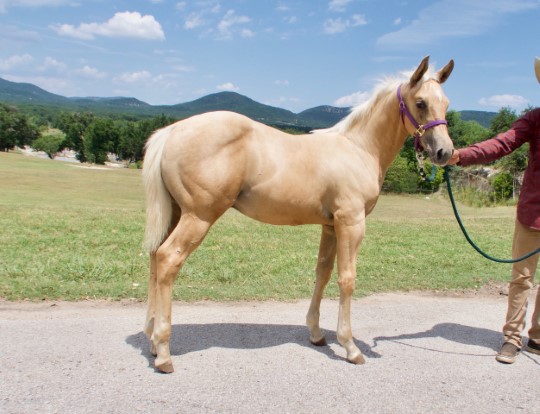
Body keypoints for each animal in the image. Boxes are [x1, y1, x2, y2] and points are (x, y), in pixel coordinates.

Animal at [141, 55, 454, 372]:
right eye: (420, 102)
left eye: (446, 103)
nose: (445, 152)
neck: (359, 148)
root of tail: (170, 132)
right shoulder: (351, 222)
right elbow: (347, 279)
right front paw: (350, 347)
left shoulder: (330, 225)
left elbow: (323, 273)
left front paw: (316, 334)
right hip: (199, 216)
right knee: (168, 259)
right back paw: (164, 351)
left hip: (177, 213)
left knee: (155, 257)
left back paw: (152, 340)